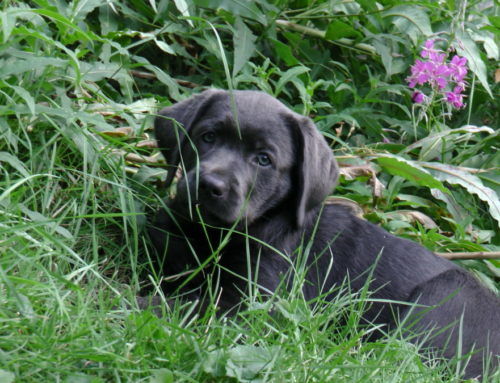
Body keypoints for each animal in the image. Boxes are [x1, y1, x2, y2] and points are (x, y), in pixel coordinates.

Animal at [151, 88, 500, 380]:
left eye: (264, 159)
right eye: (207, 136)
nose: (211, 186)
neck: (211, 234)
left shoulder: (253, 308)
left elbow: (180, 307)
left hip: (450, 295)